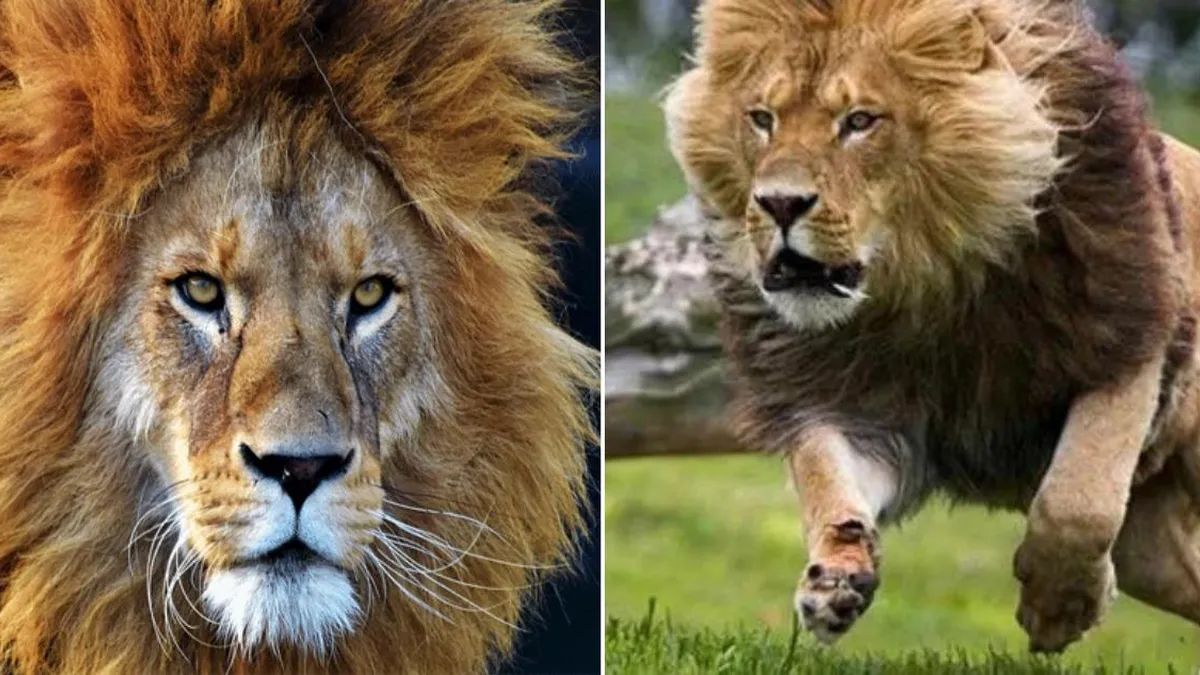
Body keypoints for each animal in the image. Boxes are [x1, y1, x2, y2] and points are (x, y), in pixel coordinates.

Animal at [665, 0, 1200, 654]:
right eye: (762, 119)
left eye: (860, 121)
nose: (779, 204)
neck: (923, 289)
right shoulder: (858, 410)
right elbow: (824, 475)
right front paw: (833, 580)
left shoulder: (1129, 345)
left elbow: (1078, 499)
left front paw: (1060, 607)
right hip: (1155, 550)